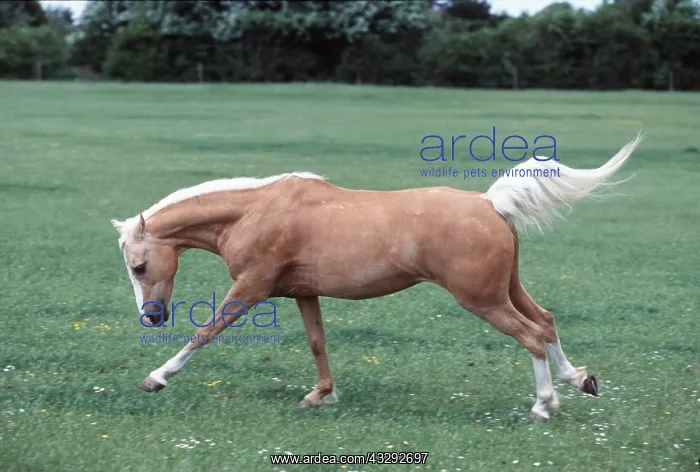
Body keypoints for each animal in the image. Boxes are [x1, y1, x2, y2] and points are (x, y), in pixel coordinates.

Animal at [111, 133, 642, 422]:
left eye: (139, 266)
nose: (151, 317)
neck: (254, 213)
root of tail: (490, 204)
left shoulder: (252, 288)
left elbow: (206, 331)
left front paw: (156, 378)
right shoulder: (303, 292)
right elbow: (318, 343)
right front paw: (320, 395)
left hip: (483, 298)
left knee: (531, 335)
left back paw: (543, 404)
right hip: (506, 288)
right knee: (546, 322)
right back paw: (580, 379)